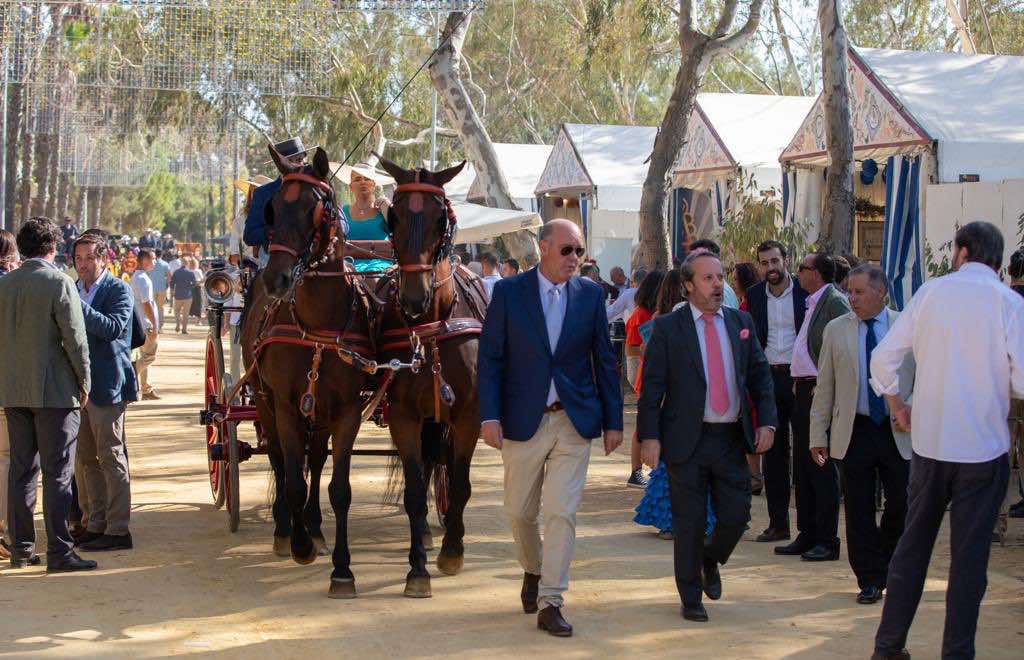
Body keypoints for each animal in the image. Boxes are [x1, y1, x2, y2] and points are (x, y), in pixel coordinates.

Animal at [239, 144, 372, 597]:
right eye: (272, 209)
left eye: (318, 208)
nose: (277, 278)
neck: (317, 325)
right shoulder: (283, 404)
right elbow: (292, 478)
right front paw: (298, 544)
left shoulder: (347, 410)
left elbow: (339, 489)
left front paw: (343, 569)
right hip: (265, 403)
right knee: (281, 460)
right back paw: (286, 529)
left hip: (321, 413)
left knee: (315, 460)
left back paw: (313, 527)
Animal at [376, 158, 487, 597]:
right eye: (393, 216)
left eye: (442, 218)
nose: (412, 297)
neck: (432, 327)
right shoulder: (404, 416)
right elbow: (413, 490)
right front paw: (418, 569)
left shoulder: (469, 415)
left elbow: (459, 484)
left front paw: (452, 553)